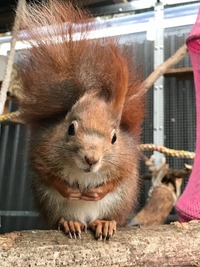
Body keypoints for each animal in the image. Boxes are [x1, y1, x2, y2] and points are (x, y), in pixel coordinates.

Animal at [16, 0, 145, 241]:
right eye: (70, 129)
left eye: (115, 138)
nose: (91, 159)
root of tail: (86, 219)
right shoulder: (42, 152)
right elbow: (46, 174)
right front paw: (69, 190)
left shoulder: (126, 160)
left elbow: (118, 178)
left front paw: (97, 191)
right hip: (52, 205)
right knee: (62, 218)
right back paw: (70, 223)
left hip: (121, 201)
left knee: (109, 215)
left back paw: (104, 223)